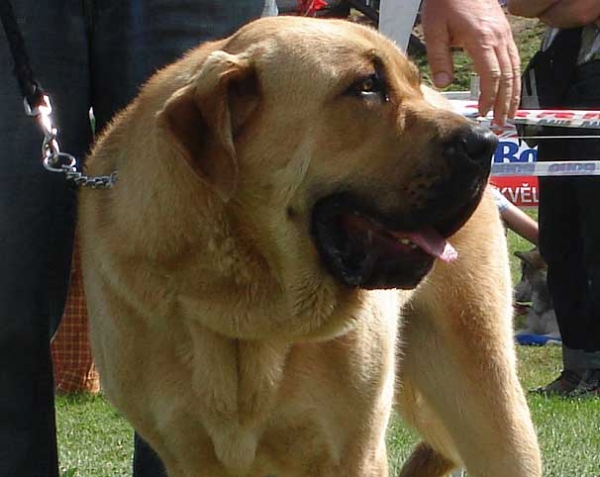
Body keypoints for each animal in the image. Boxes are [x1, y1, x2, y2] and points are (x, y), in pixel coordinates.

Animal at [77, 14, 540, 476]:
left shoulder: (354, 451)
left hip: (488, 397)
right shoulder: (187, 454)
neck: (246, 304)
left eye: (410, 82)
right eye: (367, 86)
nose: (484, 143)